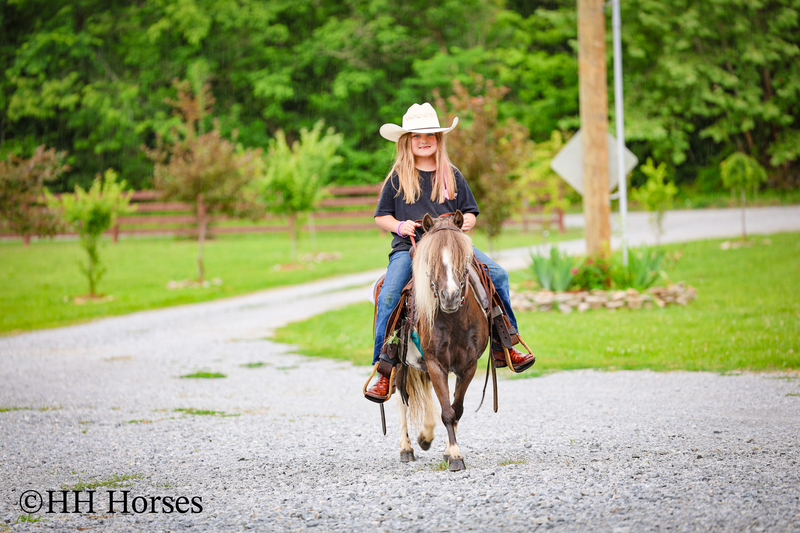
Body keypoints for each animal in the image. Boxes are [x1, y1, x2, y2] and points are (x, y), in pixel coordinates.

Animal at [395, 210, 490, 472]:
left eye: (463, 259)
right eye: (431, 260)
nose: (450, 296)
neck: (454, 320)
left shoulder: (467, 366)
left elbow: (455, 409)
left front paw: (449, 451)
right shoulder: (436, 363)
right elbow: (446, 411)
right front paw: (456, 455)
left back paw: (426, 436)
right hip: (399, 364)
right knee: (401, 399)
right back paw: (406, 448)